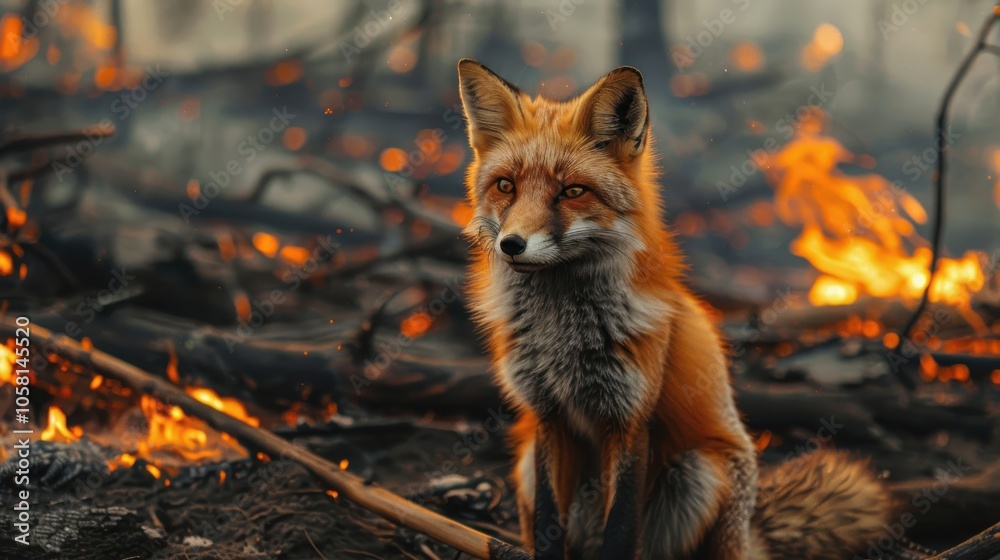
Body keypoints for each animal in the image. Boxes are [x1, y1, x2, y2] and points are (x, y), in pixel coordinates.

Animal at [456, 58, 896, 560]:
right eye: (505, 186)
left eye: (572, 192)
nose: (512, 245)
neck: (560, 335)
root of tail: (746, 539)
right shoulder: (549, 417)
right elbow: (550, 523)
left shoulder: (631, 421)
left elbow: (621, 529)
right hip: (530, 459)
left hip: (697, 472)